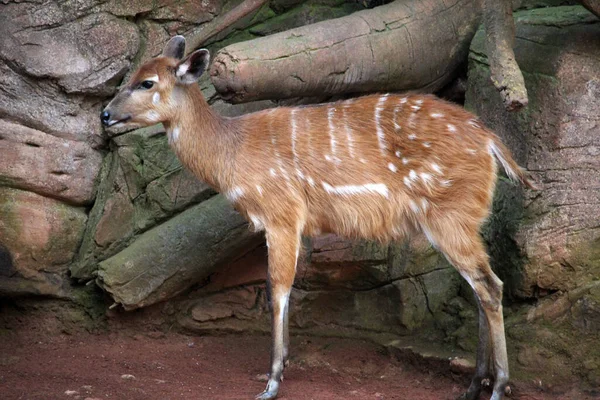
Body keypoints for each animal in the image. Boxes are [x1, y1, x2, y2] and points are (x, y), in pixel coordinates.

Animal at [101, 36, 536, 398]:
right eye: (130, 76)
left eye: (147, 83)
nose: (105, 115)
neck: (232, 152)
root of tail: (491, 141)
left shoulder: (282, 214)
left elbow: (277, 288)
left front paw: (272, 382)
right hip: (462, 221)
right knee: (480, 287)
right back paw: (473, 385)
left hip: (449, 216)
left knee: (489, 286)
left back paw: (498, 387)